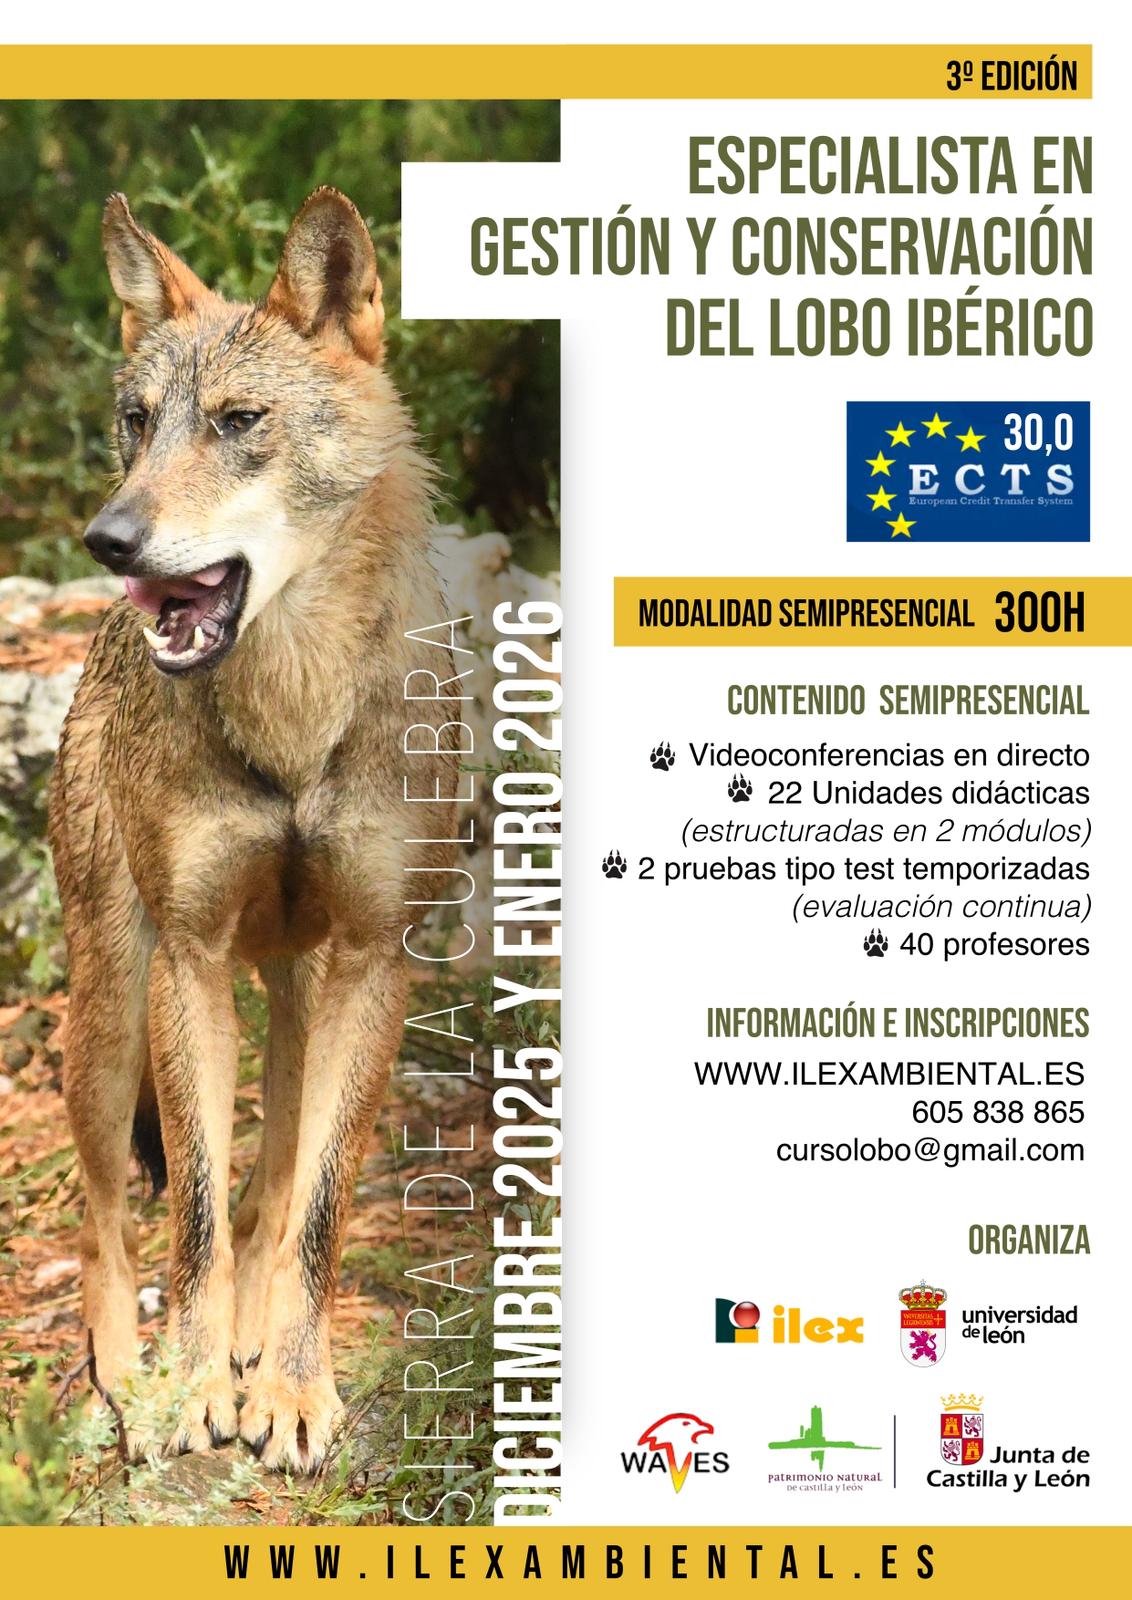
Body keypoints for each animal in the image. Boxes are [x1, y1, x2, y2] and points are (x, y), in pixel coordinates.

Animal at [48, 188, 458, 1472]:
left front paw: (291, 1388)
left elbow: (312, 1211)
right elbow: (189, 1209)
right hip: (112, 1008)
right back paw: (127, 1383)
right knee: (111, 1217)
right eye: (137, 423)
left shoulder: (376, 962)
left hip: (296, 993)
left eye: (237, 423)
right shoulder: (188, 956)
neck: (294, 722)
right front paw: (188, 1391)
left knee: (269, 1189)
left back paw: (247, 1347)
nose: (110, 540)